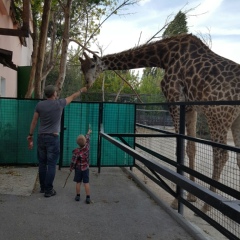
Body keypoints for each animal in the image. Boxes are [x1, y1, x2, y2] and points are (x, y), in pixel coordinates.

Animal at [79, 33, 240, 212]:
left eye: (93, 65)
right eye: (82, 68)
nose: (87, 83)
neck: (164, 56)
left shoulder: (174, 97)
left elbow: (180, 147)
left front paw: (177, 201)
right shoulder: (191, 107)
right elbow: (191, 148)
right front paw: (191, 197)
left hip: (217, 115)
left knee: (222, 155)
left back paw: (206, 207)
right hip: (235, 119)